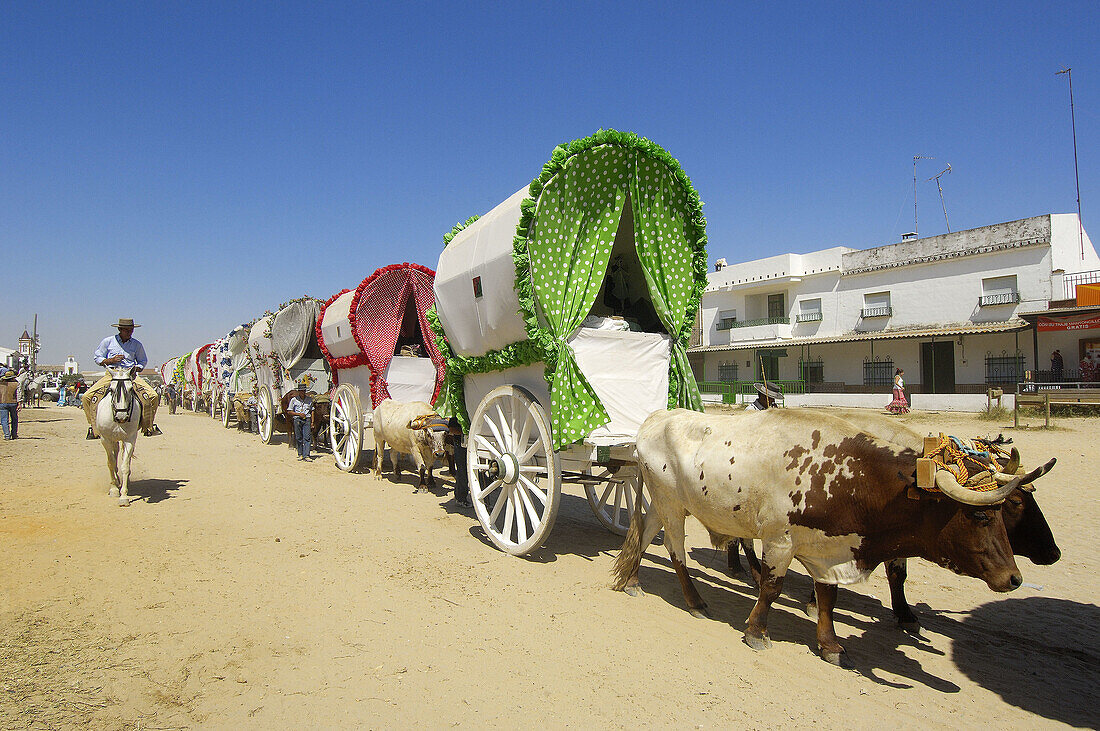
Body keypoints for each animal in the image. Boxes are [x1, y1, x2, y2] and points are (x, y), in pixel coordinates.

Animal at [92, 367, 143, 505]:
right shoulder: (105, 439)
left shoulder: (130, 439)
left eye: (131, 389)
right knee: (114, 457)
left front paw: (124, 496)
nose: (122, 417)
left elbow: (125, 465)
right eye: (111, 389)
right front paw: (114, 489)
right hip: (112, 440)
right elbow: (110, 463)